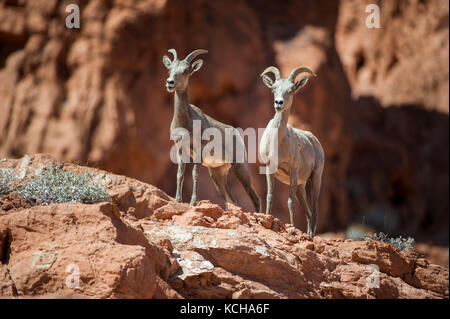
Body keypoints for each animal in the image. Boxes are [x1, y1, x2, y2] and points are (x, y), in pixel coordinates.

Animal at [162, 48, 260, 214]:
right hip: (217, 175)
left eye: (186, 71)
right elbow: (180, 174)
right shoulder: (180, 149)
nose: (170, 83)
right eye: (170, 69)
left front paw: (193, 202)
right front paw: (177, 200)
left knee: (255, 197)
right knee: (231, 201)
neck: (185, 122)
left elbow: (194, 174)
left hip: (240, 167)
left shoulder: (198, 151)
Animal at [258, 66, 326, 236]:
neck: (277, 144)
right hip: (301, 186)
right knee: (308, 213)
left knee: (314, 212)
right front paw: (267, 219)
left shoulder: (293, 170)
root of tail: (314, 140)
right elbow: (269, 195)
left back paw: (311, 237)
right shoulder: (269, 168)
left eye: (291, 90)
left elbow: (289, 202)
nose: (279, 103)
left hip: (315, 179)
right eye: (274, 89)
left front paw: (293, 227)